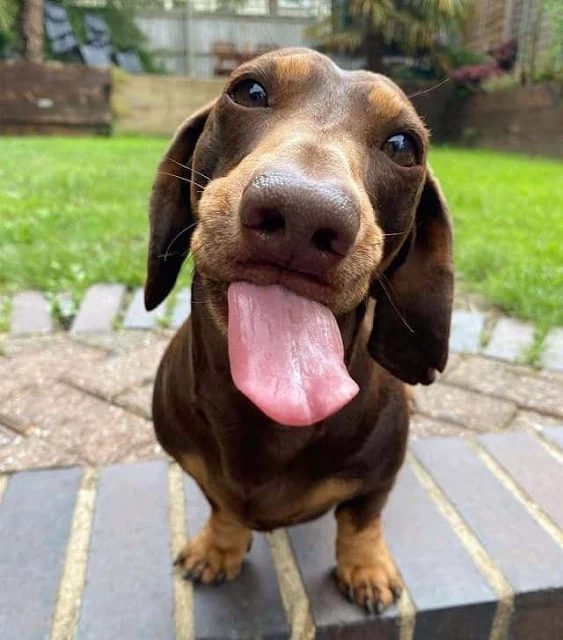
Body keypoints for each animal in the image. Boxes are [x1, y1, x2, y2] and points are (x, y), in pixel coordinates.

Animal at [145, 47, 454, 613]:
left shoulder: (378, 476)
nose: (302, 216)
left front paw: (366, 567)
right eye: (248, 91)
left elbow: (361, 518)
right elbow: (221, 505)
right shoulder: (196, 468)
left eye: (404, 145)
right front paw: (219, 547)